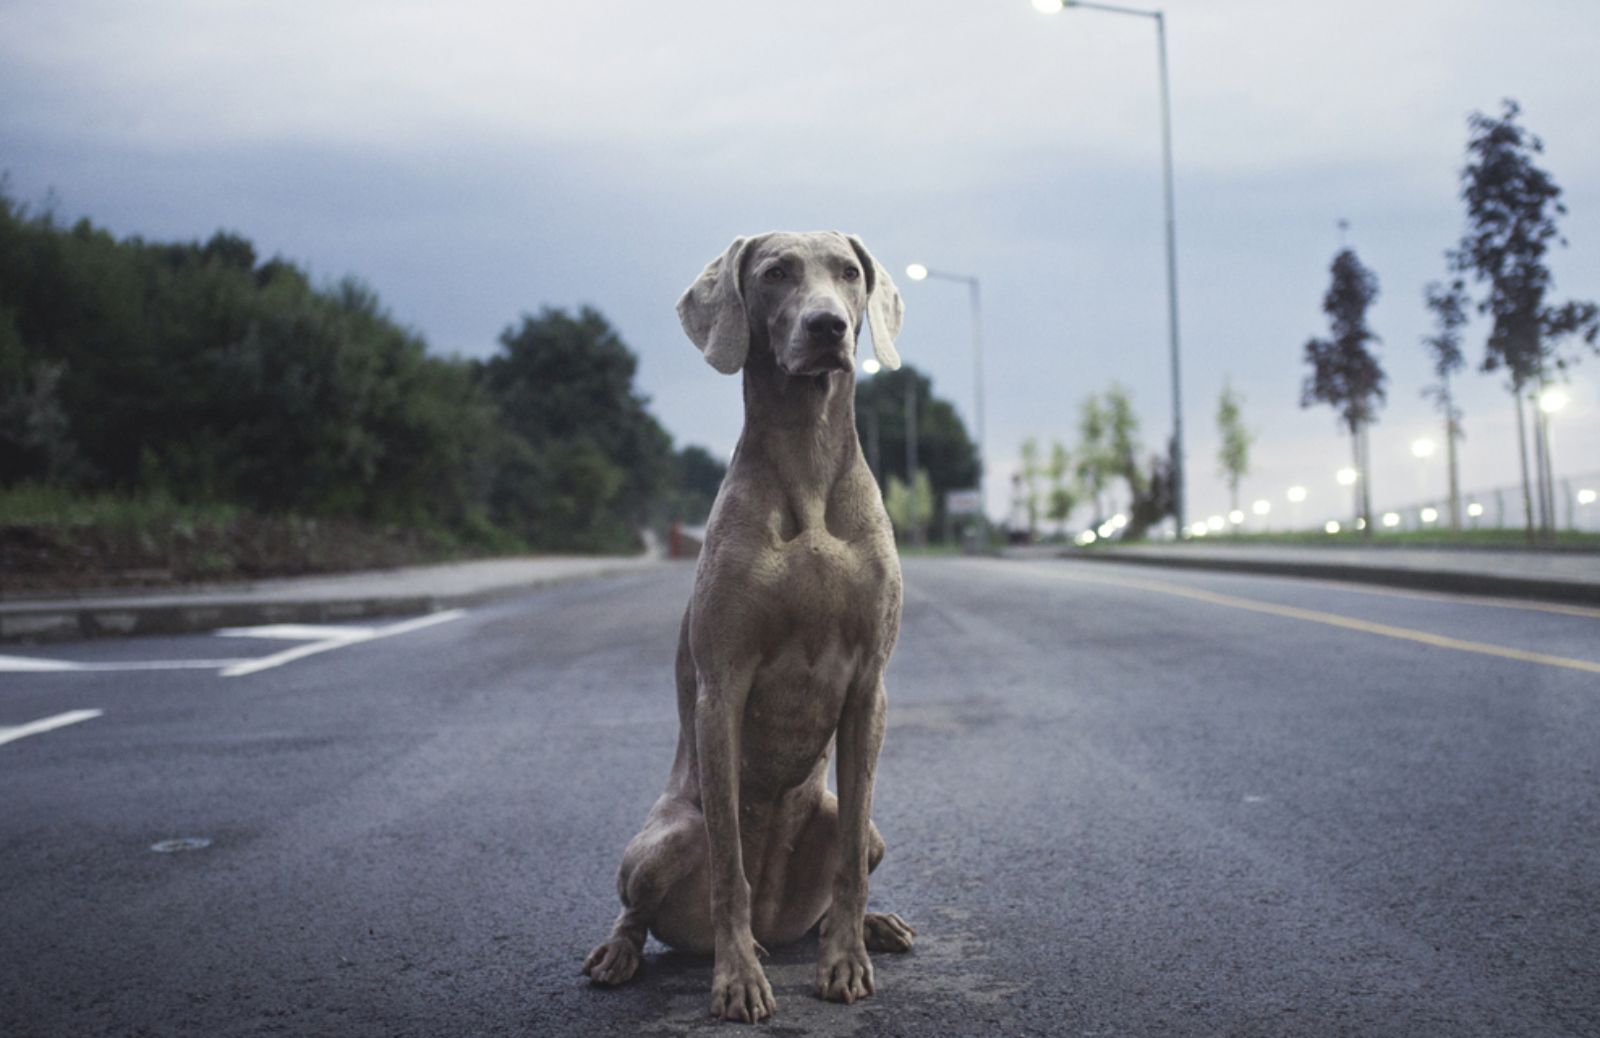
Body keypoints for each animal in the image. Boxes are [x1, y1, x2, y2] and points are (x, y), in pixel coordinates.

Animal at [585, 233, 915, 1017]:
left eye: (849, 274)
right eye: (775, 274)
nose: (828, 327)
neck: (807, 460)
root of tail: (775, 923)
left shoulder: (870, 687)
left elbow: (851, 864)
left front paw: (846, 961)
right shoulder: (722, 686)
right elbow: (729, 864)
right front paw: (736, 979)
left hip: (851, 823)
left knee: (852, 855)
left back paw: (873, 926)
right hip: (663, 840)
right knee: (640, 907)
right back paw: (624, 954)